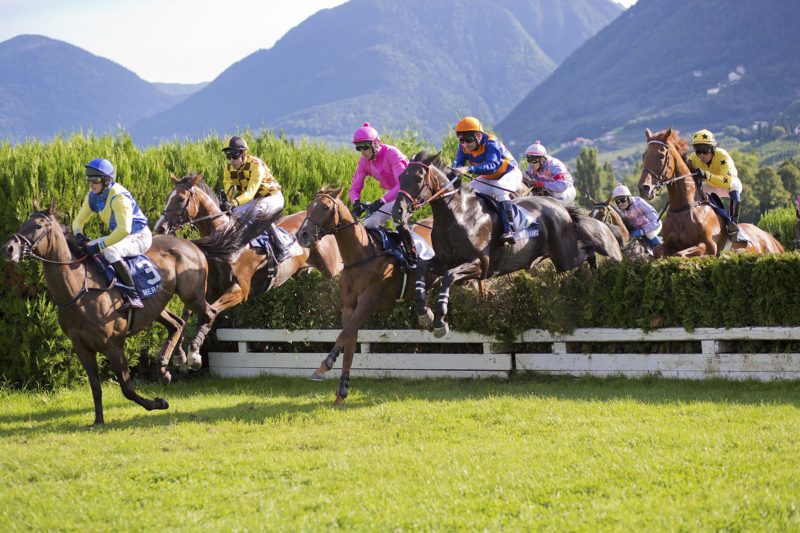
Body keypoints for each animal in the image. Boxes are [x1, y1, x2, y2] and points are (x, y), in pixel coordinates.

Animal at [1, 203, 217, 424]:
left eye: (37, 225)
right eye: (23, 223)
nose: (9, 248)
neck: (79, 291)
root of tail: (189, 243)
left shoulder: (114, 346)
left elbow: (127, 388)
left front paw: (157, 403)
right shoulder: (82, 348)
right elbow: (95, 387)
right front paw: (98, 421)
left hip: (192, 296)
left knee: (210, 313)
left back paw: (193, 355)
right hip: (157, 306)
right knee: (176, 323)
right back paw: (167, 366)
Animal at [155, 172, 342, 360]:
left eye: (180, 199)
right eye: (168, 197)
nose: (160, 227)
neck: (227, 241)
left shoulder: (240, 289)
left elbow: (212, 312)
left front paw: (194, 351)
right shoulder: (208, 290)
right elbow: (187, 315)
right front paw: (174, 352)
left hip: (331, 266)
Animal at [296, 188, 434, 408]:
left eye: (325, 207)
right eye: (310, 206)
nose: (302, 235)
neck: (360, 254)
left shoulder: (368, 302)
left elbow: (343, 335)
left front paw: (323, 367)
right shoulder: (349, 307)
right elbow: (349, 344)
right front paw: (341, 394)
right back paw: (427, 314)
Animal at [394, 148, 620, 334]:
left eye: (418, 177)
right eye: (400, 176)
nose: (398, 211)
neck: (456, 214)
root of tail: (560, 207)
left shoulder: (480, 265)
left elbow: (449, 277)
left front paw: (440, 320)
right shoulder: (444, 261)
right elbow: (422, 268)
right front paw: (424, 313)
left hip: (564, 256)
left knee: (588, 250)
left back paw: (593, 278)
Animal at [640, 127, 784, 256]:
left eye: (661, 156)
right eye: (644, 155)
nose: (644, 188)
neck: (683, 208)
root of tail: (771, 239)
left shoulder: (710, 247)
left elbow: (680, 254)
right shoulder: (668, 244)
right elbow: (658, 252)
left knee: (733, 188)